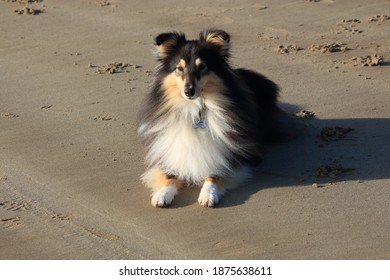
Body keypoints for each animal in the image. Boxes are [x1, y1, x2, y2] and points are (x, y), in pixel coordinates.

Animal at [136, 29, 296, 207]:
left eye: (202, 66)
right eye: (179, 68)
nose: (188, 92)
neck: (195, 110)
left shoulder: (230, 152)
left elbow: (216, 172)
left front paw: (208, 194)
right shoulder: (170, 150)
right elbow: (169, 173)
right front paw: (162, 194)